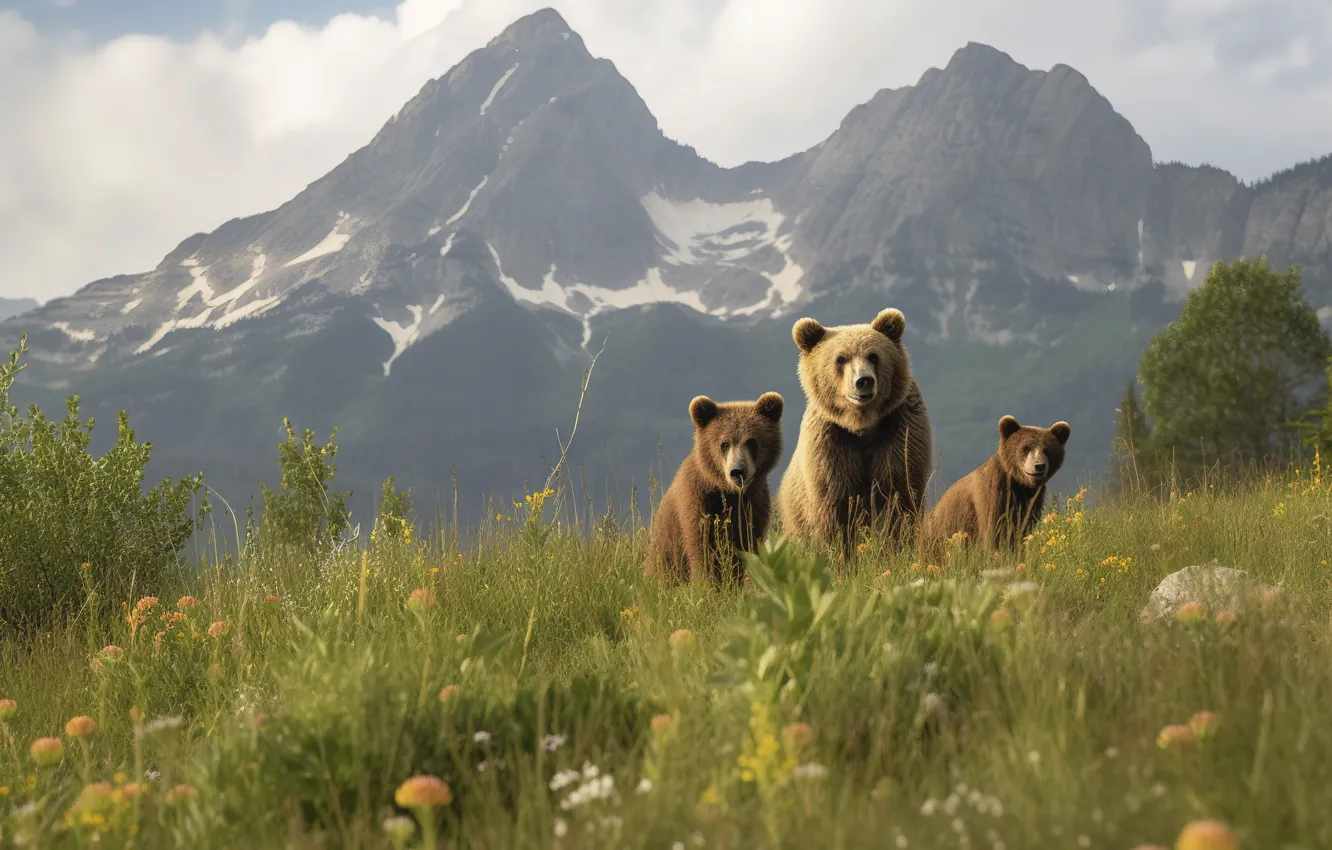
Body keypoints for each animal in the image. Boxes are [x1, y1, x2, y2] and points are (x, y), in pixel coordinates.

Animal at [644, 392, 785, 583]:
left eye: (751, 441)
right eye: (724, 443)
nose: (737, 471)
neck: (728, 491)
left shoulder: (754, 505)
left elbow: (748, 545)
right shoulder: (698, 502)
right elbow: (703, 550)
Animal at [776, 308, 933, 554]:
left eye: (873, 356)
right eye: (841, 358)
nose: (864, 381)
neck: (861, 425)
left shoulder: (898, 432)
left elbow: (899, 495)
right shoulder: (832, 444)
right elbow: (835, 510)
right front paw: (839, 552)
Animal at [924, 415, 1071, 551]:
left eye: (1047, 450)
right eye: (1026, 448)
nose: (1039, 466)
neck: (1019, 483)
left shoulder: (1031, 498)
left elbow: (1022, 528)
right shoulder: (993, 491)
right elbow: (994, 528)